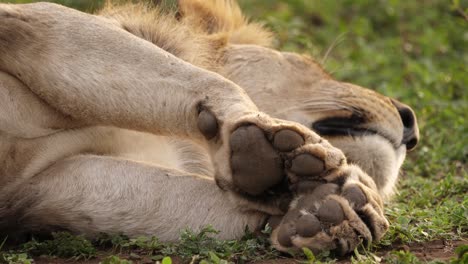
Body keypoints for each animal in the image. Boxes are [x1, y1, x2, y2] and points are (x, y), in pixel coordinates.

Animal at [0, 0, 418, 256]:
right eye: (313, 65)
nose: (411, 122)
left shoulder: (40, 185)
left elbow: (181, 199)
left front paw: (331, 210)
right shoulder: (28, 20)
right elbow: (206, 80)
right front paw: (269, 148)